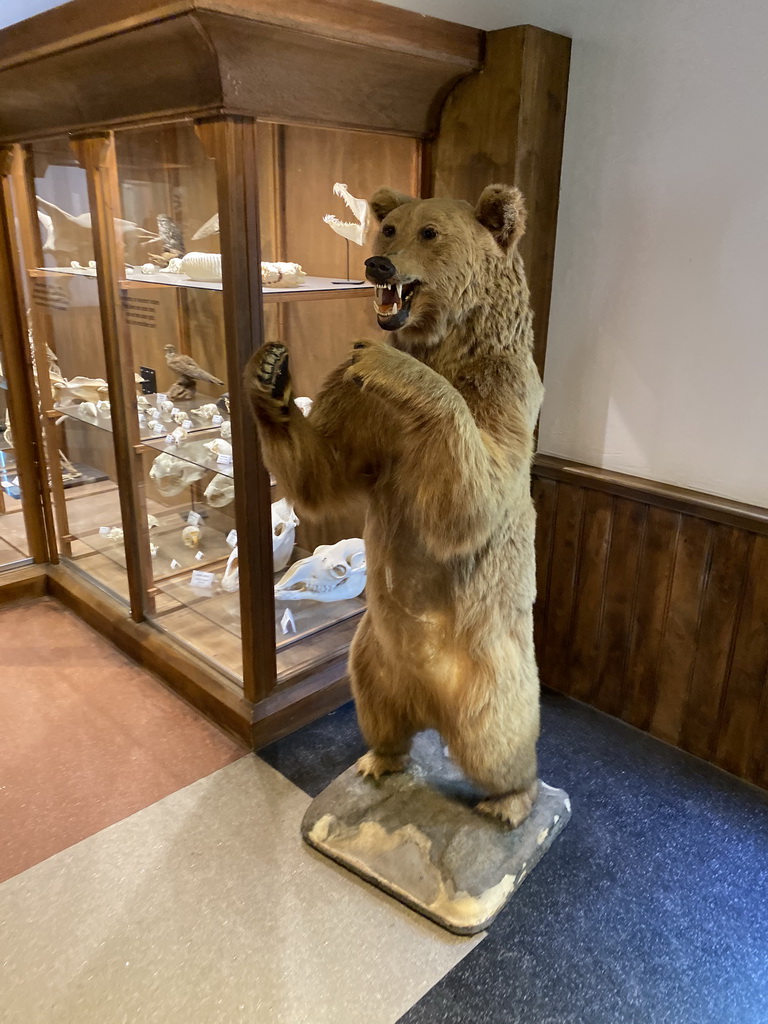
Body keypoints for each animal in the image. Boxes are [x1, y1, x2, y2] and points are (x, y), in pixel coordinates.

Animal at [249, 182, 544, 823]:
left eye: (429, 233)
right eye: (388, 228)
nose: (378, 264)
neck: (444, 342)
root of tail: (432, 709)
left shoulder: (504, 389)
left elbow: (471, 505)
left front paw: (391, 363)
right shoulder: (360, 407)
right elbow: (324, 472)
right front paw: (270, 371)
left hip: (491, 670)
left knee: (500, 737)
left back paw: (510, 801)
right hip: (368, 654)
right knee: (378, 710)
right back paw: (376, 761)